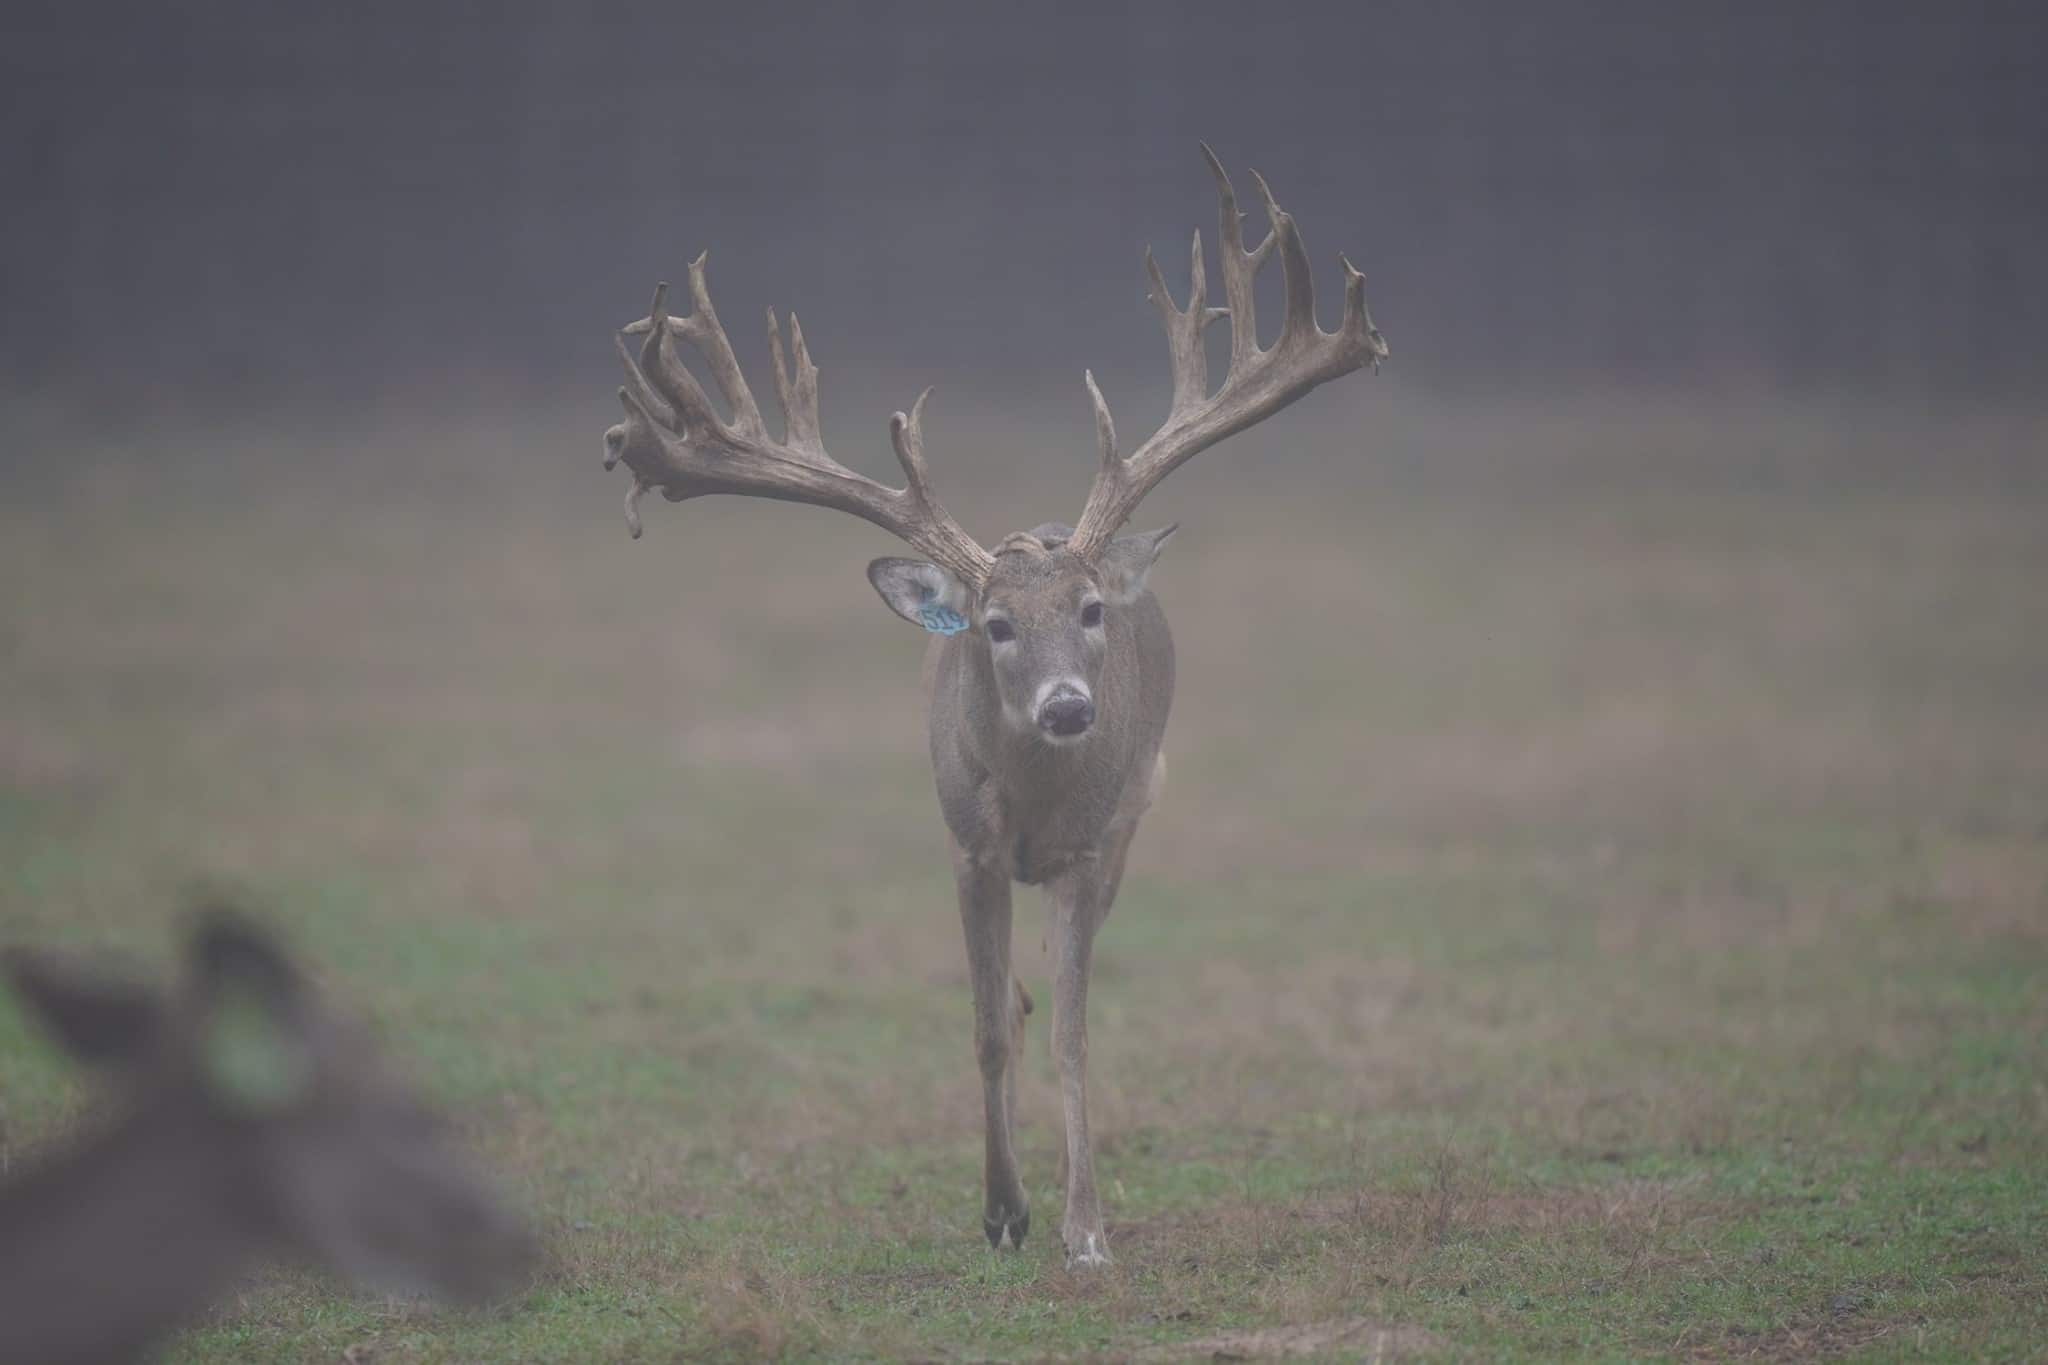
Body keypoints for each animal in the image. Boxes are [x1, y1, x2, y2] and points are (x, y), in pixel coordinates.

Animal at [600, 146, 1387, 1268]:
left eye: (1092, 610)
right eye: (995, 625)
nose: (1065, 708)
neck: (1035, 806)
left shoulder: (1092, 846)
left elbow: (1071, 1030)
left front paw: (1086, 1229)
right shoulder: (966, 842)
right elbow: (983, 1024)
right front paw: (1002, 1210)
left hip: (1136, 815)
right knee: (1007, 1002)